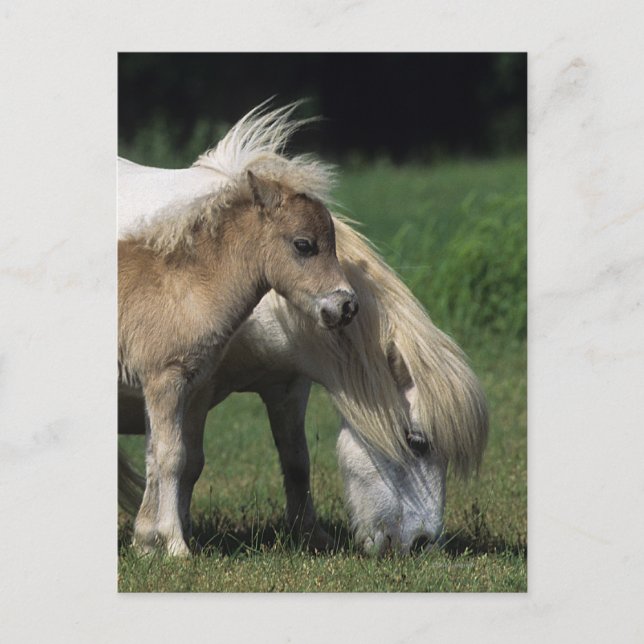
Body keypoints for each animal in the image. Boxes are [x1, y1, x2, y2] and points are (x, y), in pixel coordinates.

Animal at [118, 103, 359, 556]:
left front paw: (144, 543)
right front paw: (175, 546)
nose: (346, 306)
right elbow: (172, 457)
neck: (182, 286)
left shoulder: (175, 389)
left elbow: (156, 457)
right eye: (304, 245)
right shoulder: (165, 380)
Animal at [119, 217, 488, 555]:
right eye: (417, 442)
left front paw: (311, 536)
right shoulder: (190, 392)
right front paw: (163, 540)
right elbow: (184, 463)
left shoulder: (289, 386)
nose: (422, 544)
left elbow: (296, 460)